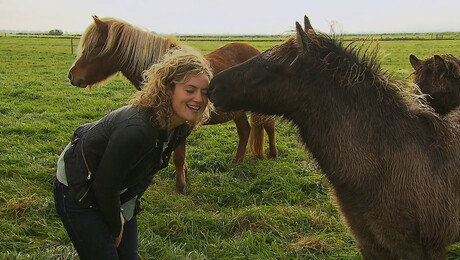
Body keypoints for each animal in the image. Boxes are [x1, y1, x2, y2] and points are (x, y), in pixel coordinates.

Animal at [67, 16, 276, 194]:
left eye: (96, 46)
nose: (71, 75)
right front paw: (185, 174)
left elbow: (178, 157)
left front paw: (180, 187)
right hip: (237, 112)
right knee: (245, 131)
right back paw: (237, 162)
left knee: (268, 126)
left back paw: (272, 154)